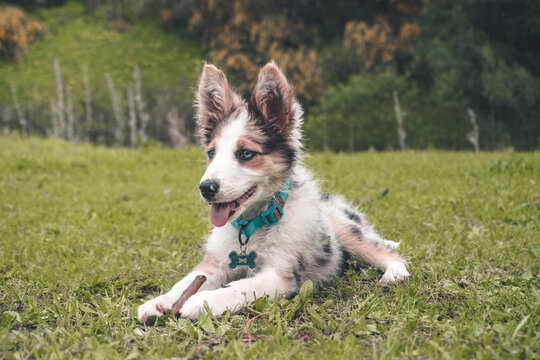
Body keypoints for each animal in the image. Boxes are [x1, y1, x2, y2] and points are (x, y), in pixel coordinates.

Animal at [136, 62, 410, 324]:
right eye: (211, 153)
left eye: (246, 153)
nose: (206, 188)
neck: (253, 226)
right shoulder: (214, 262)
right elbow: (185, 281)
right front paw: (159, 301)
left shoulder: (281, 274)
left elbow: (241, 286)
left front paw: (203, 301)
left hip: (347, 231)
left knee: (389, 254)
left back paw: (394, 274)